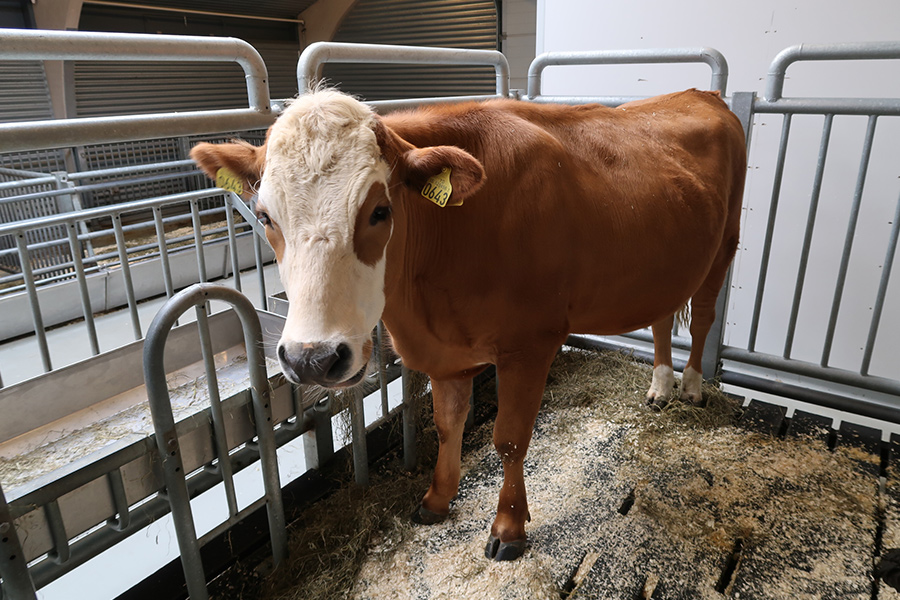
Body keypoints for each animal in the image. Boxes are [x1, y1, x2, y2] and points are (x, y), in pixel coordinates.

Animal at [192, 86, 744, 560]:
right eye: (265, 217)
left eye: (379, 211)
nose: (313, 358)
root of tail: (698, 93)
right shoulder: (444, 353)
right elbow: (446, 423)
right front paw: (436, 499)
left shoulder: (530, 343)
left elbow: (510, 438)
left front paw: (509, 528)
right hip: (668, 262)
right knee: (662, 316)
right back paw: (660, 387)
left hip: (725, 244)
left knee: (704, 317)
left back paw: (691, 387)